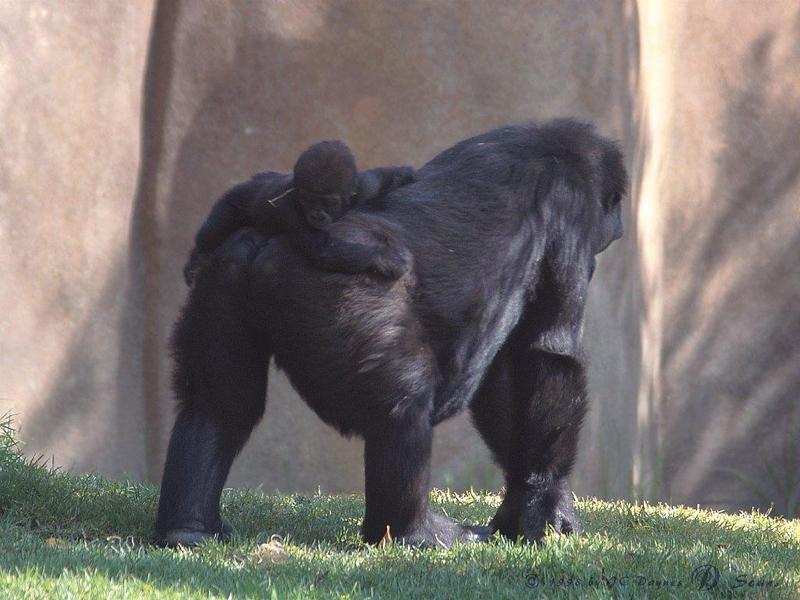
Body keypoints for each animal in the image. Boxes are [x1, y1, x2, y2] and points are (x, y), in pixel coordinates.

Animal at [184, 141, 416, 284]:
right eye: (309, 200)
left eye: (329, 202)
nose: (316, 215)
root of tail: (254, 180)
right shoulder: (290, 209)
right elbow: (322, 250)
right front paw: (385, 257)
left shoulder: (364, 187)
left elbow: (382, 177)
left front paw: (405, 173)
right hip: (234, 199)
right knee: (214, 229)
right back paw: (198, 255)